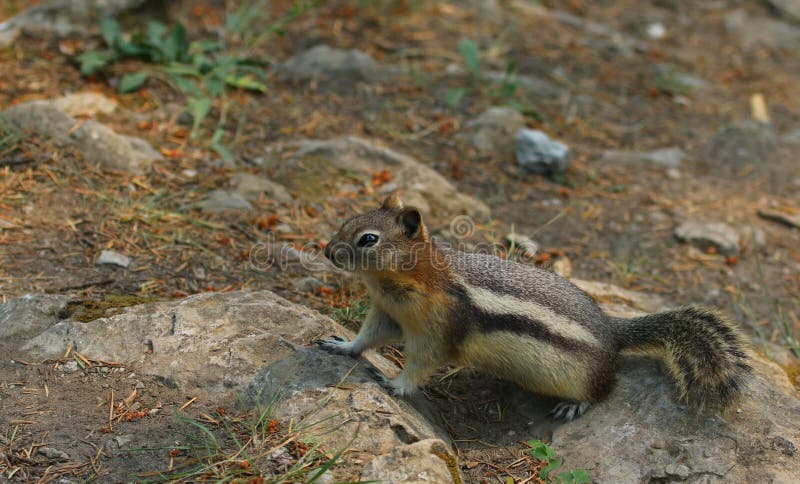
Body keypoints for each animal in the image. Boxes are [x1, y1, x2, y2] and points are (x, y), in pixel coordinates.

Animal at [318, 195, 752, 422]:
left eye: (368, 239)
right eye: (347, 219)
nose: (326, 250)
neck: (408, 282)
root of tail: (612, 331)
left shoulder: (437, 331)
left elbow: (421, 364)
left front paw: (396, 384)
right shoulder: (388, 314)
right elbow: (368, 337)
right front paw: (343, 347)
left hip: (584, 376)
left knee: (605, 390)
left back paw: (574, 405)